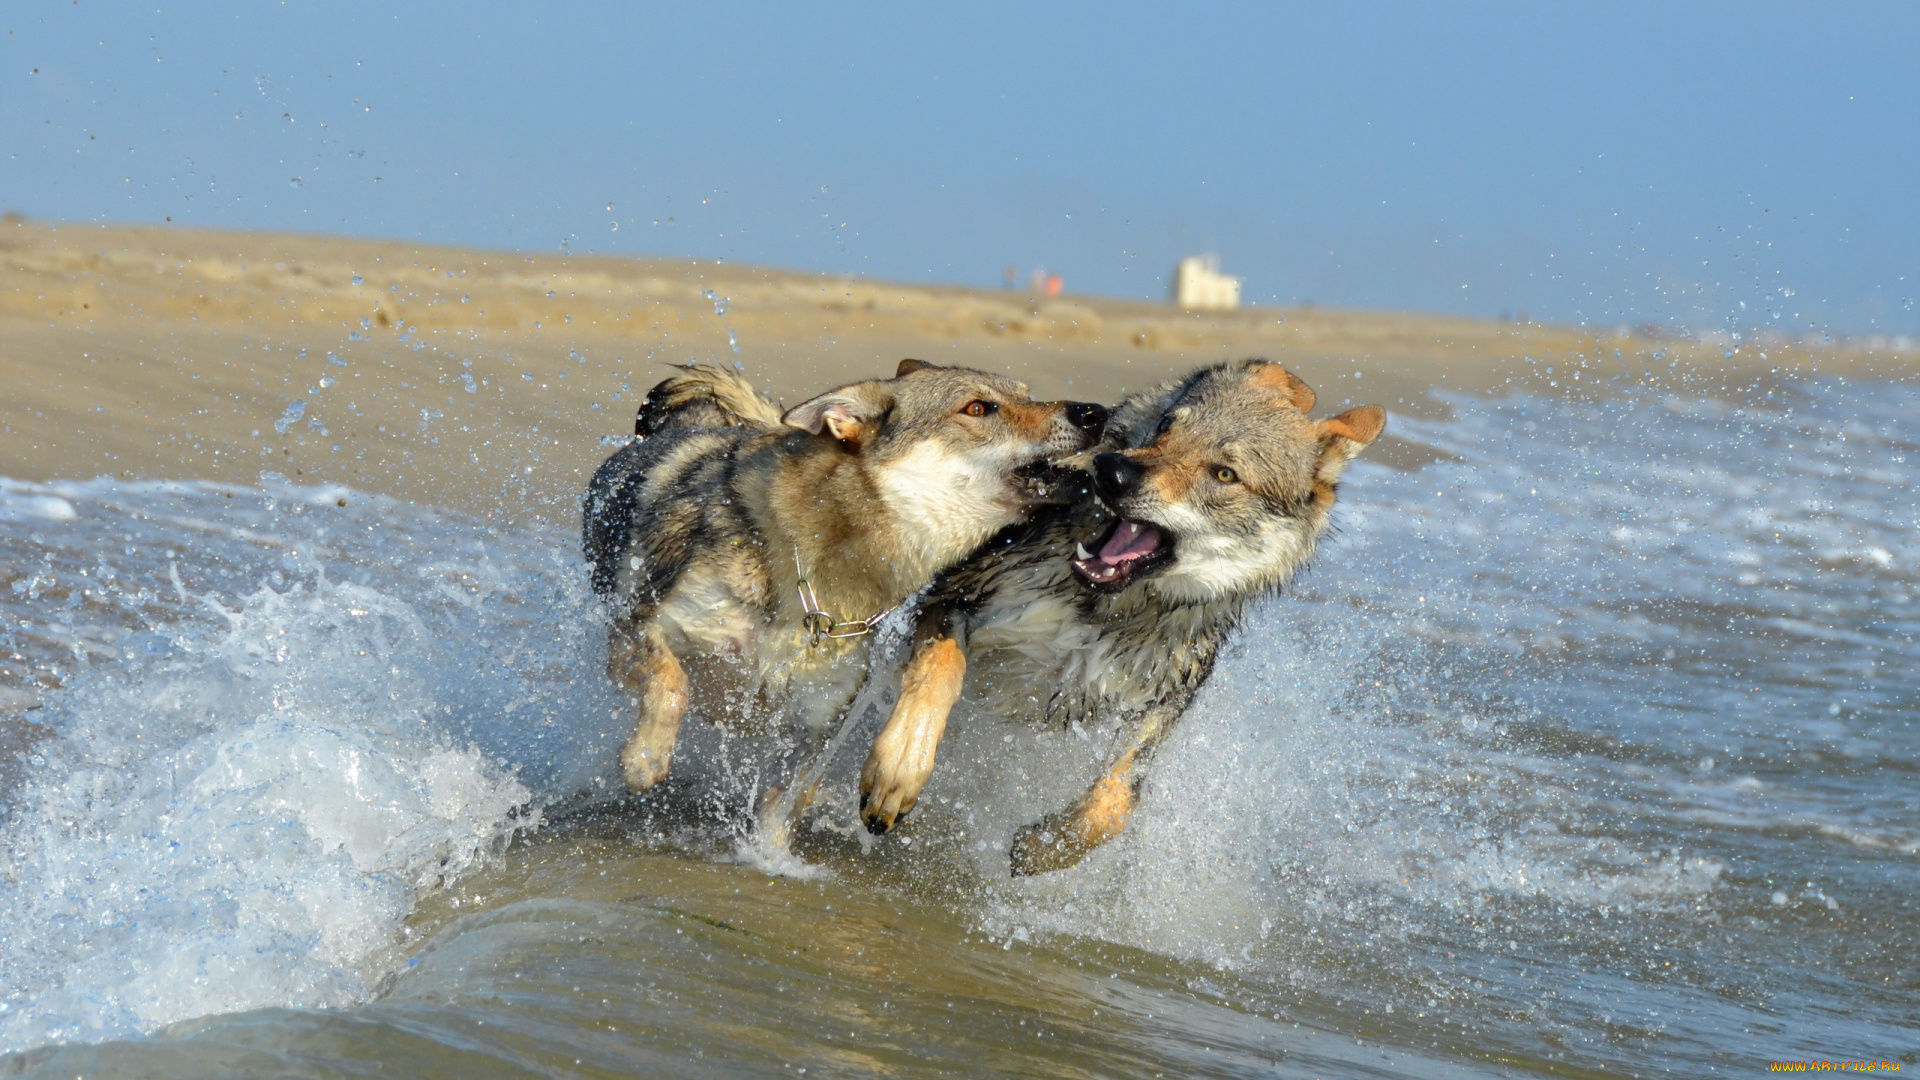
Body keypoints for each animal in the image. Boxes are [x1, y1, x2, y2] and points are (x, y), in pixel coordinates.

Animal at [576, 357, 1105, 826]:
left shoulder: (813, 727)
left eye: (1027, 394)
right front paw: (645, 758)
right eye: (978, 408)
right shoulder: (634, 633)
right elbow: (672, 683)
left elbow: (779, 817)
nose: (1094, 412)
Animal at [856, 357, 1382, 868]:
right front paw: (898, 770)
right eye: (1167, 426)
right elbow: (941, 669)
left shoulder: (1161, 700)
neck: (1103, 610)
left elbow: (1117, 801)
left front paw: (1046, 847)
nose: (1112, 471)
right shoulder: (954, 598)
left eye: (1224, 474)